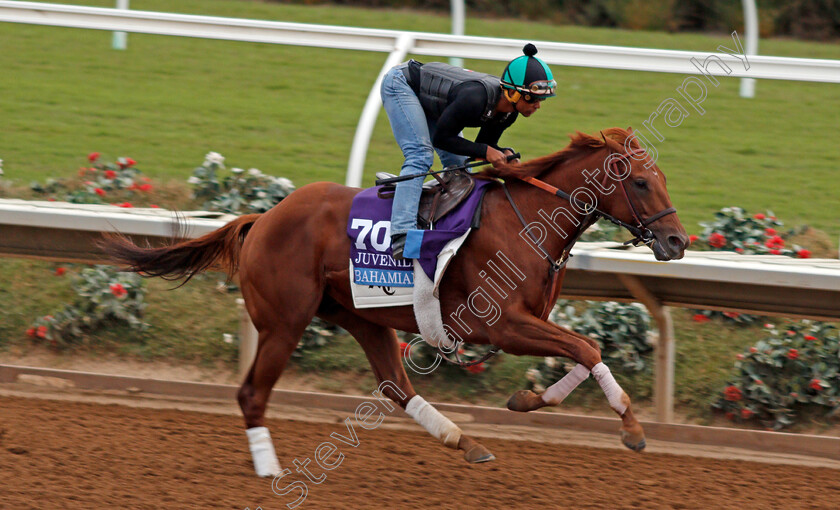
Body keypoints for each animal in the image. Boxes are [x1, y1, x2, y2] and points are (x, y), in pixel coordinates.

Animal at [100, 126, 688, 474]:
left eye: (663, 177)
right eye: (640, 182)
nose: (678, 241)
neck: (529, 222)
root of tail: (262, 218)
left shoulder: (525, 321)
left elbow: (583, 351)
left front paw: (527, 400)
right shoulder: (499, 325)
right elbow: (588, 348)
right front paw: (632, 429)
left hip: (363, 317)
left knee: (395, 386)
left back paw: (463, 441)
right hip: (284, 322)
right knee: (251, 394)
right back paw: (269, 469)